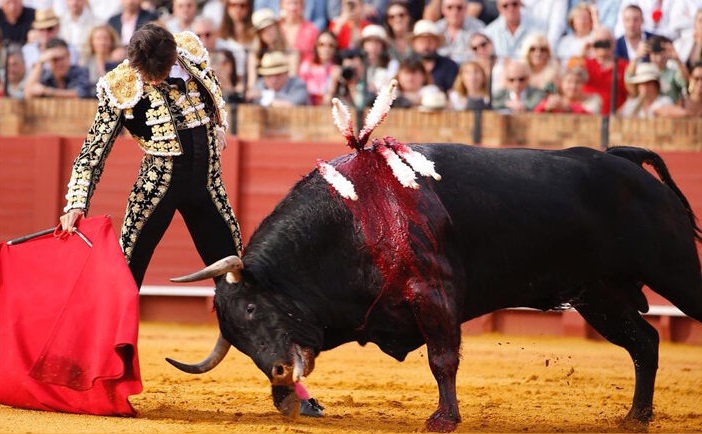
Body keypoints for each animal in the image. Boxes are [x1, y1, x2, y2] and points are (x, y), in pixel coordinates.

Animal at [166, 90, 702, 432]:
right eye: (235, 336)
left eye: (252, 307)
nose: (277, 372)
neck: (352, 220)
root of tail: (624, 161)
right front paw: (290, 403)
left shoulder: (435, 293)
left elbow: (442, 359)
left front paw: (443, 420)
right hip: (598, 296)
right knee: (645, 342)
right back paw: (635, 418)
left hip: (675, 273)